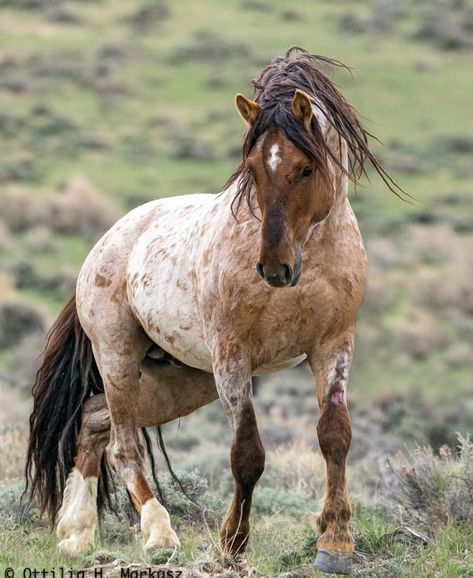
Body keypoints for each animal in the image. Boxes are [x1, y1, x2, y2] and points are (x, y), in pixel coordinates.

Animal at [24, 48, 402, 572]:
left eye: (306, 168)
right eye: (252, 168)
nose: (275, 267)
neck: (310, 258)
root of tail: (105, 243)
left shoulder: (333, 346)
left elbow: (334, 436)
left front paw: (336, 544)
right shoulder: (231, 358)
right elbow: (247, 454)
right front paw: (233, 544)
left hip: (179, 380)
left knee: (92, 420)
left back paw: (75, 534)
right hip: (121, 357)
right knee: (122, 445)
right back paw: (158, 535)